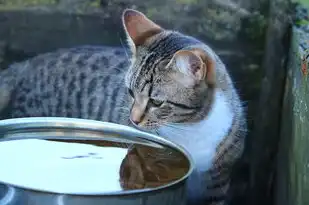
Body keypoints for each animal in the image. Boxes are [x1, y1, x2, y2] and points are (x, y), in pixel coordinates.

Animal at [0, 8, 245, 205]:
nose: (134, 119)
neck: (191, 127)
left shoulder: (217, 181)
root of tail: (26, 65)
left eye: (156, 102)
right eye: (130, 93)